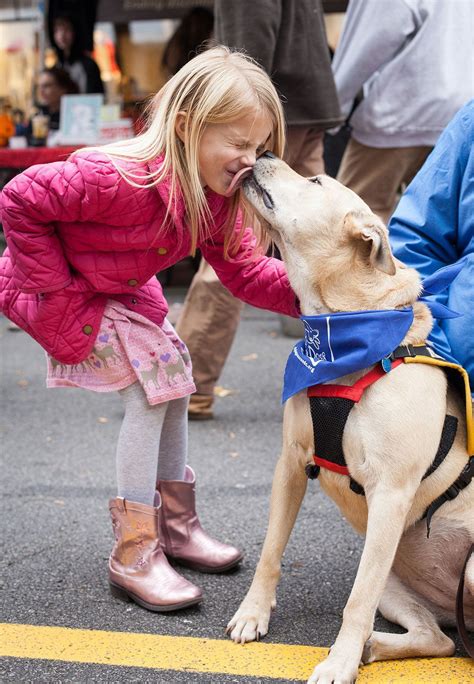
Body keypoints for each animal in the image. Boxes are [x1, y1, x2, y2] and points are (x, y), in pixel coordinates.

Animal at [228, 156, 472, 684]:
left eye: (316, 180)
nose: (263, 155)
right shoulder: (290, 464)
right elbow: (270, 553)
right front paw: (252, 613)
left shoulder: (391, 494)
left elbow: (355, 604)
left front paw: (338, 662)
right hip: (396, 580)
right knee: (438, 639)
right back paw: (374, 646)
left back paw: (359, 649)